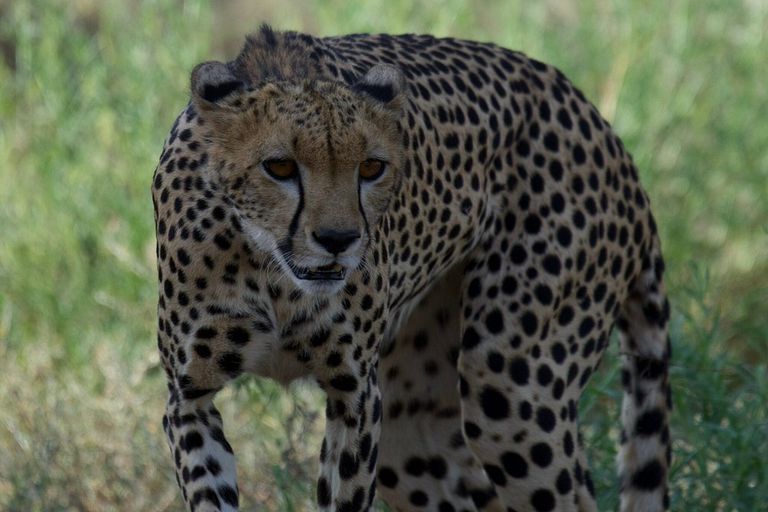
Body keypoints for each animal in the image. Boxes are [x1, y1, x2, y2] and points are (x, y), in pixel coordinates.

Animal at [152, 25, 672, 512]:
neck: (274, 274)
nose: (338, 240)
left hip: (510, 386)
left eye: (372, 168)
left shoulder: (356, 396)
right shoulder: (189, 400)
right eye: (279, 167)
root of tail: (602, 126)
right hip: (411, 427)